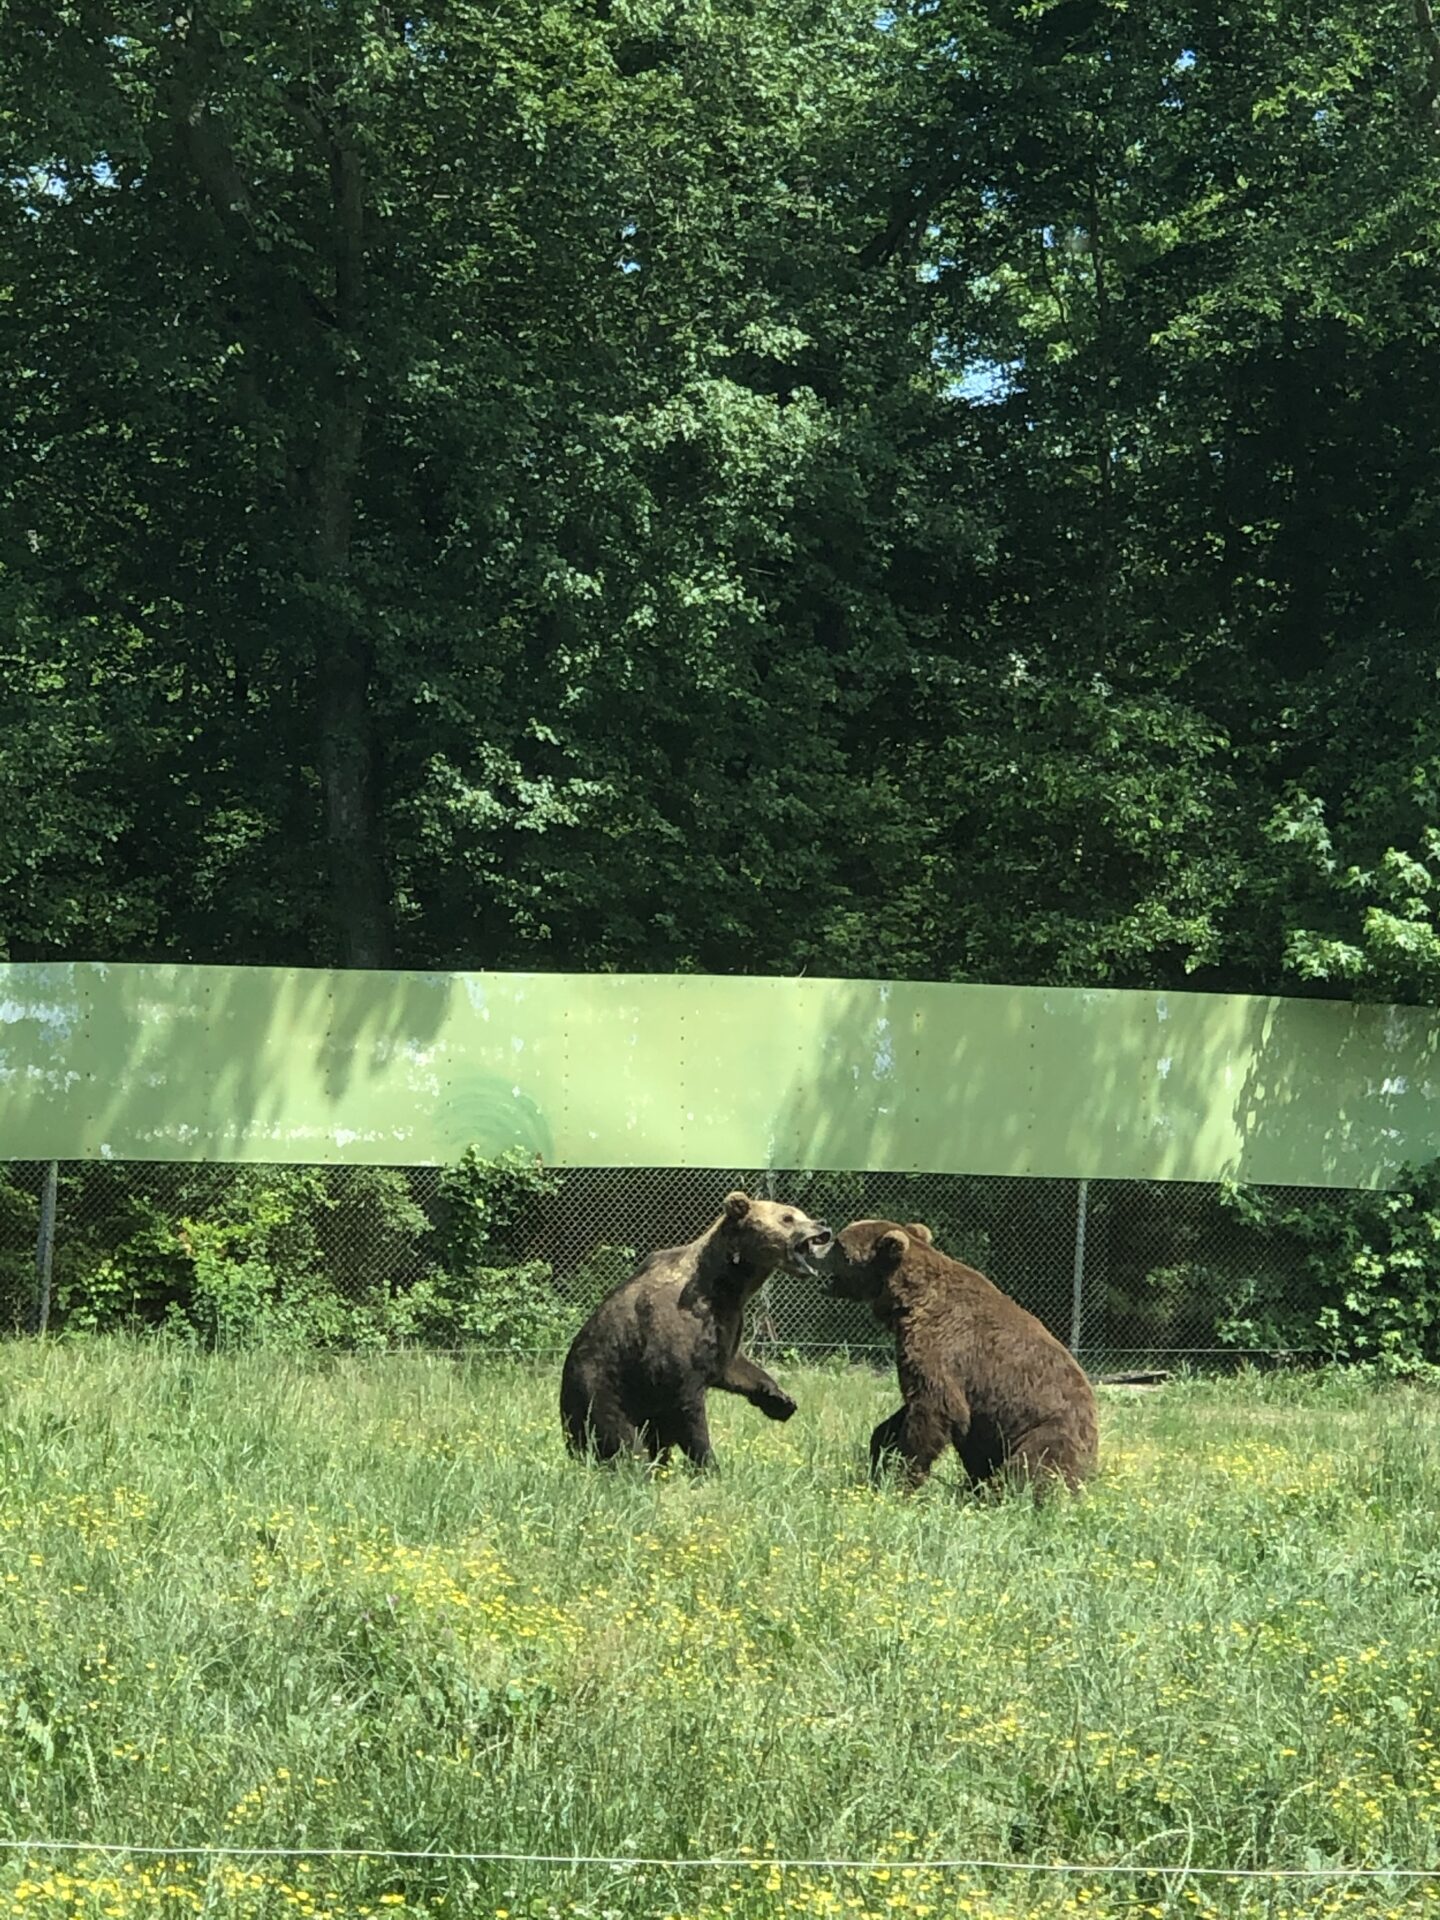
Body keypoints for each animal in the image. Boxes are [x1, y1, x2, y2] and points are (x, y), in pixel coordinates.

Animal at [560, 1182, 833, 1466]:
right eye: (787, 1217)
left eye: (802, 1214)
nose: (823, 1226)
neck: (727, 1285)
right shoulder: (676, 1332)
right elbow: (687, 1405)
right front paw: (708, 1462)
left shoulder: (726, 1322)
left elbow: (729, 1365)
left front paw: (780, 1399)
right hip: (601, 1387)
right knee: (620, 1436)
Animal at [829, 1221, 1098, 1489]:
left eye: (840, 1244)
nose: (824, 1245)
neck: (908, 1301)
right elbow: (906, 1413)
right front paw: (882, 1455)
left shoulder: (940, 1348)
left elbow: (938, 1410)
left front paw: (903, 1477)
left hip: (1047, 1431)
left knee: (1031, 1469)